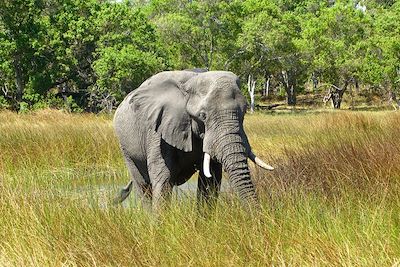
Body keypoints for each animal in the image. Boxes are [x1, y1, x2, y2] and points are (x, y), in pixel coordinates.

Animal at [114, 70, 274, 213]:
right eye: (203, 115)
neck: (192, 81)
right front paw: (160, 225)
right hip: (126, 147)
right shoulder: (157, 130)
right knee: (143, 185)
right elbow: (163, 177)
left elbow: (211, 179)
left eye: (245, 111)